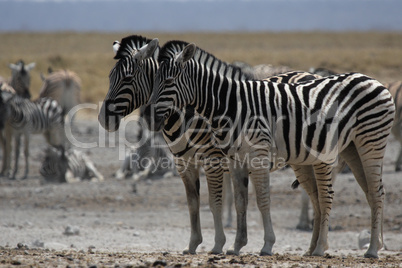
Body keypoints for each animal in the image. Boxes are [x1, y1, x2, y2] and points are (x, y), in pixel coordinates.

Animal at [144, 41, 396, 258]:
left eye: (169, 81)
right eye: (152, 81)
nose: (150, 119)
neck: (231, 105)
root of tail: (373, 80)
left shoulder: (252, 155)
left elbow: (260, 200)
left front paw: (265, 245)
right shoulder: (234, 160)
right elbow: (238, 201)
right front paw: (235, 246)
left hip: (370, 141)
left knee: (370, 192)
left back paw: (365, 250)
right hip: (349, 149)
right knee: (366, 193)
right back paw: (346, 247)